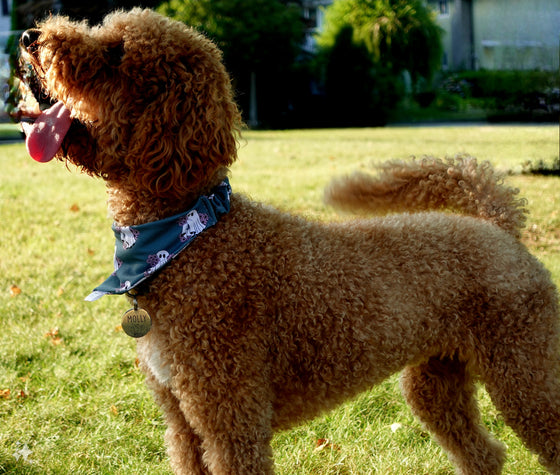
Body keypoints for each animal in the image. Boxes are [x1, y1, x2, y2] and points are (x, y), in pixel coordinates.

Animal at [15, 7, 560, 475]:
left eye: (116, 54)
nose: (28, 37)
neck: (186, 236)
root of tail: (497, 225)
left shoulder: (231, 420)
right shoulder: (183, 424)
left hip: (524, 370)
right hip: (436, 380)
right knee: (484, 454)